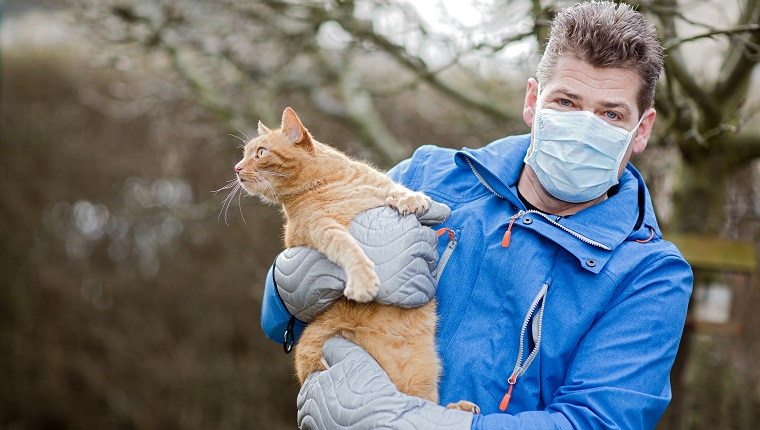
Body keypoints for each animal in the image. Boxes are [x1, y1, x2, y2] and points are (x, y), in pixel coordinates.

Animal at [236, 107, 476, 410]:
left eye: (260, 152)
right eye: (245, 154)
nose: (237, 168)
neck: (328, 181)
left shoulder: (379, 185)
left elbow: (395, 189)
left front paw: (412, 199)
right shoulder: (322, 229)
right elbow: (349, 248)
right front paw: (363, 279)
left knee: (425, 404)